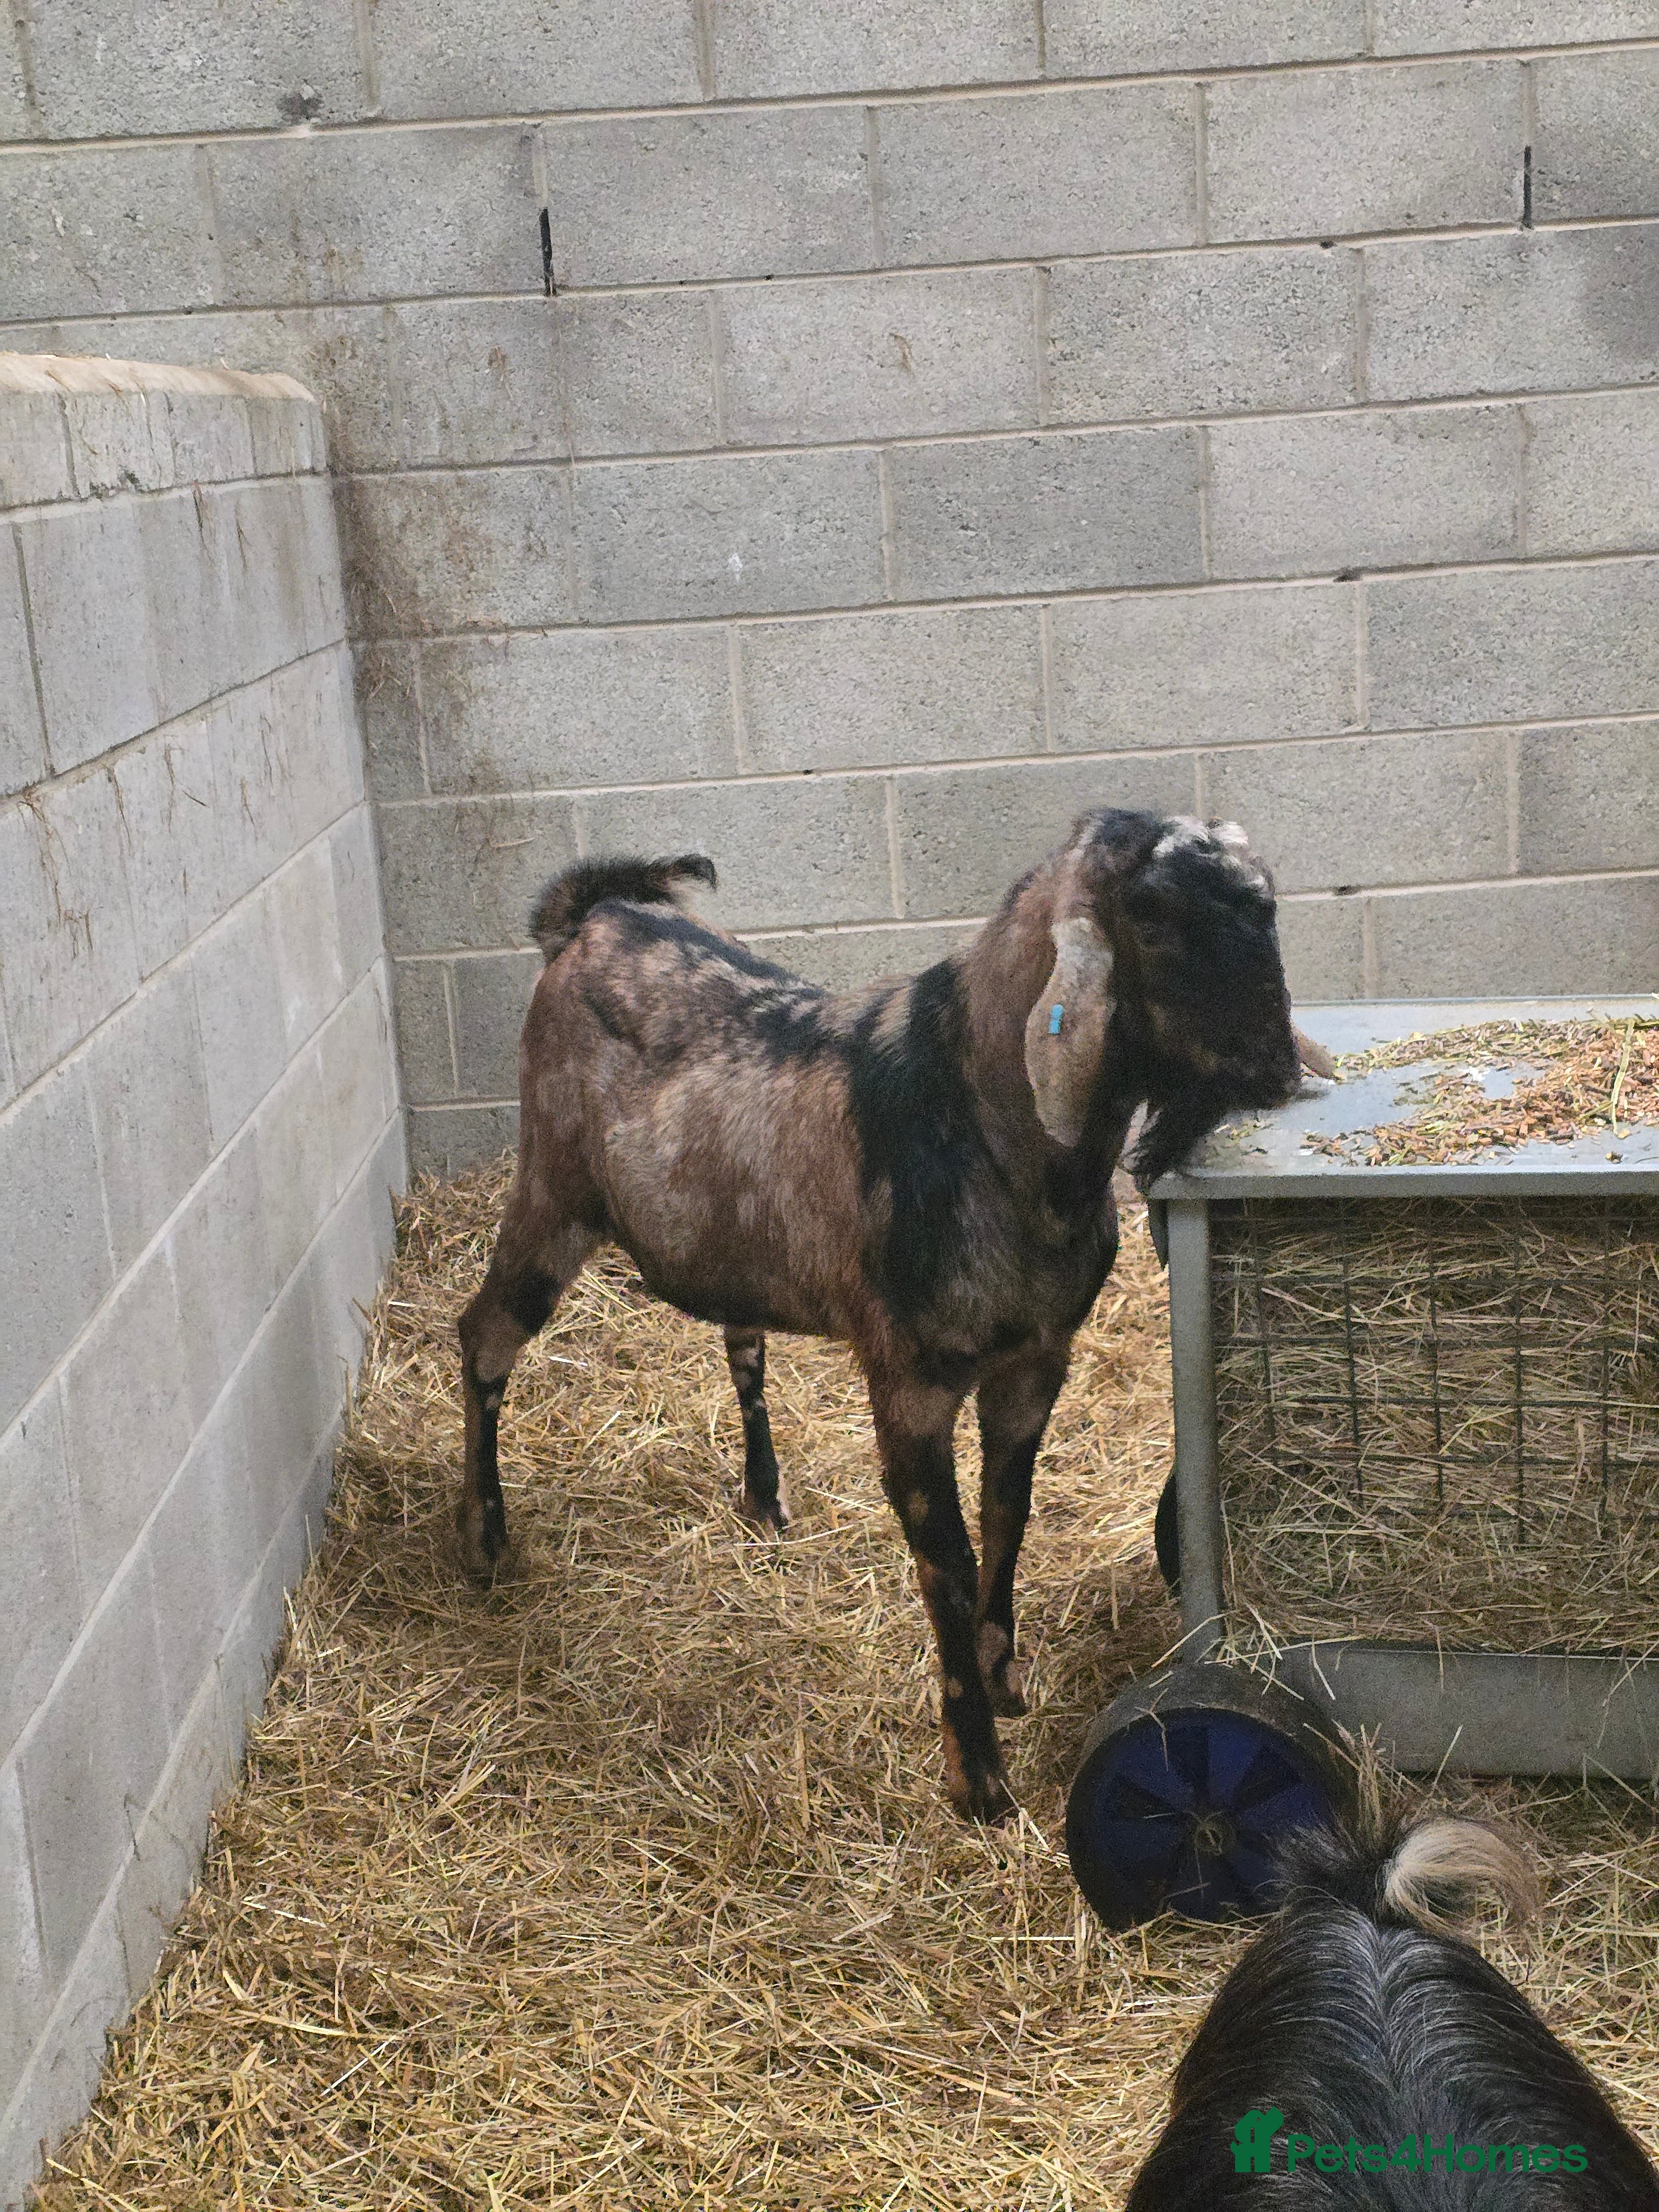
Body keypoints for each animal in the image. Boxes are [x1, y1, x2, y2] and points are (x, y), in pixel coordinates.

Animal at [457, 807, 1315, 1820]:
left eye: (1265, 902)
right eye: (1148, 913)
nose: (1276, 1067)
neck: (984, 1123)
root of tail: (588, 920)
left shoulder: (1036, 1360)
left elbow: (1008, 1512)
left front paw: (1003, 1677)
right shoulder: (911, 1382)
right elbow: (946, 1558)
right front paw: (979, 1780)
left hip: (727, 1239)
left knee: (739, 1340)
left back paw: (765, 1498)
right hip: (551, 1196)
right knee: (484, 1338)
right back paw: (485, 1541)